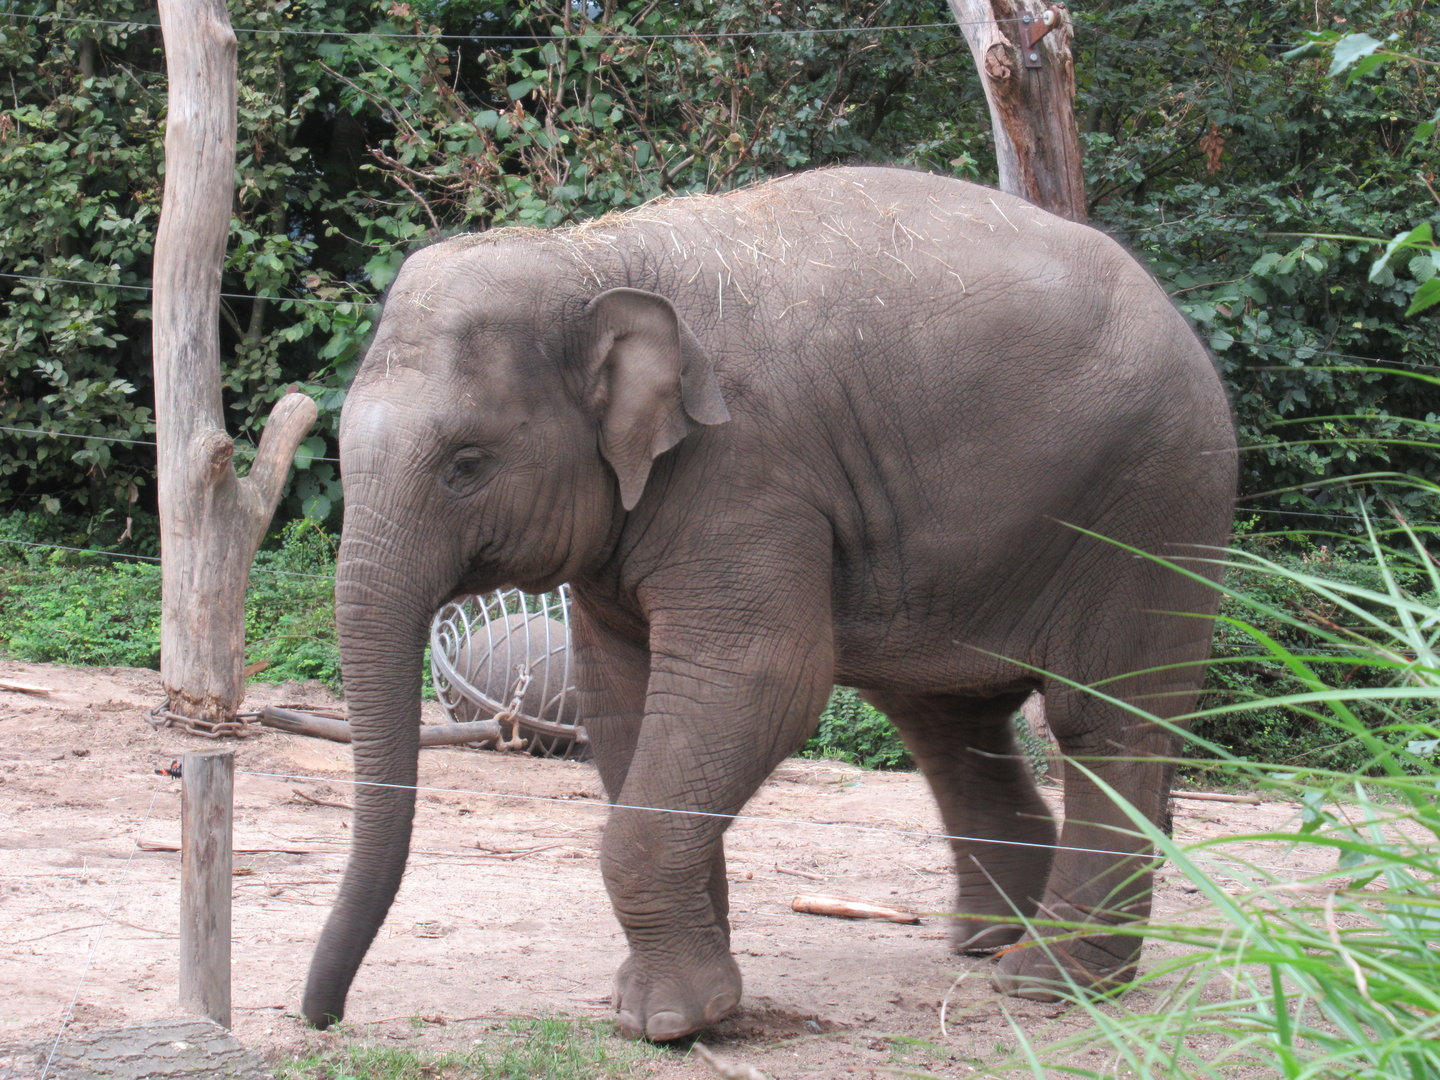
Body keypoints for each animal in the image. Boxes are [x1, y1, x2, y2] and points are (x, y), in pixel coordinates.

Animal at [302, 166, 1237, 1041]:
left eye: (466, 464)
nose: (323, 1017)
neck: (591, 256)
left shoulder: (747, 475)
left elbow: (761, 679)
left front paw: (668, 1024)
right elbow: (622, 700)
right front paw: (687, 1002)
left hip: (1154, 503)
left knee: (1101, 720)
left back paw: (1050, 982)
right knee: (945, 717)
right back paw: (984, 941)